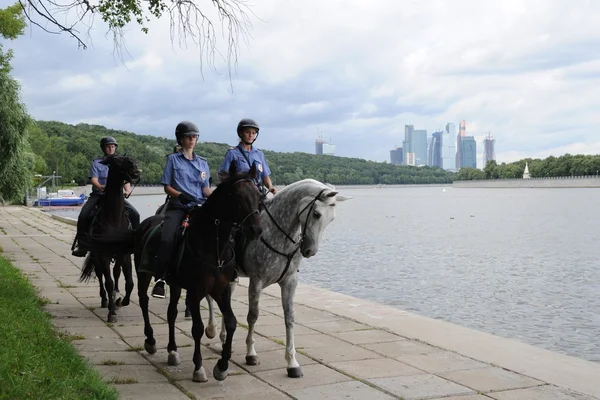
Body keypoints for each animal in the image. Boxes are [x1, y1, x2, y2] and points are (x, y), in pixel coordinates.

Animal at [78, 152, 141, 322]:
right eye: (115, 160)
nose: (136, 169)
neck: (114, 219)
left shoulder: (124, 254)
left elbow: (129, 282)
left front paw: (121, 301)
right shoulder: (103, 255)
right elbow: (109, 282)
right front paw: (112, 312)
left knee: (117, 273)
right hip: (96, 255)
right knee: (101, 276)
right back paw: (105, 300)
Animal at [135, 162, 262, 382]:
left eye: (257, 194)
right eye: (238, 196)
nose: (256, 229)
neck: (214, 246)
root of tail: (147, 222)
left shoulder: (221, 290)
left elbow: (231, 322)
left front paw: (222, 366)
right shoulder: (195, 292)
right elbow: (198, 328)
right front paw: (199, 367)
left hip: (175, 284)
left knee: (171, 313)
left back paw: (172, 351)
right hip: (144, 274)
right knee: (144, 301)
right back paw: (150, 340)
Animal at [205, 180, 352, 376]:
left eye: (332, 218)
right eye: (316, 214)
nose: (310, 251)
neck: (278, 234)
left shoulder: (290, 282)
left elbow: (289, 318)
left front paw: (292, 362)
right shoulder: (256, 281)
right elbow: (253, 316)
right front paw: (251, 353)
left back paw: (222, 339)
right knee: (209, 297)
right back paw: (211, 329)